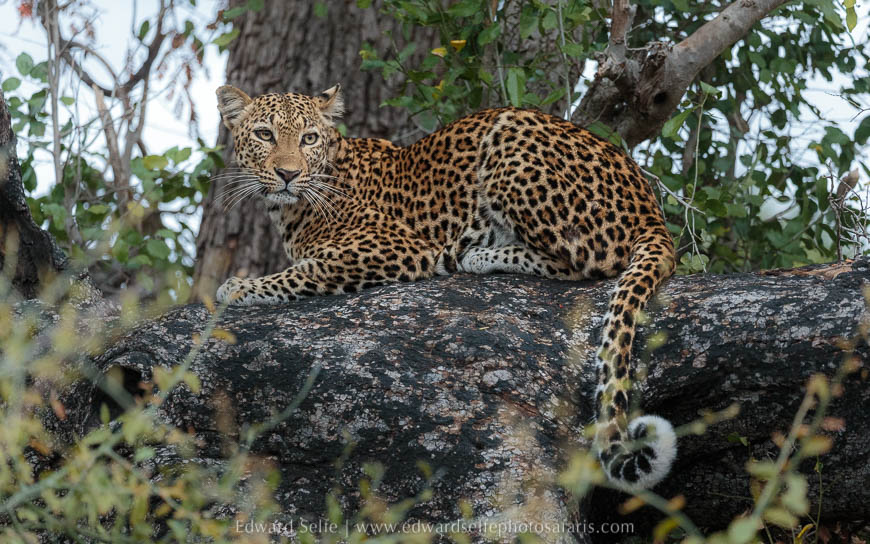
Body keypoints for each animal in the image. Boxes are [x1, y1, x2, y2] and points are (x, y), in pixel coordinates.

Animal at [214, 84, 678, 491]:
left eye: (309, 138)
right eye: (265, 134)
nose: (288, 174)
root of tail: (652, 210)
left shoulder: (394, 247)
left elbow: (306, 271)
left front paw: (238, 288)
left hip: (511, 144)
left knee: (586, 263)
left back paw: (478, 254)